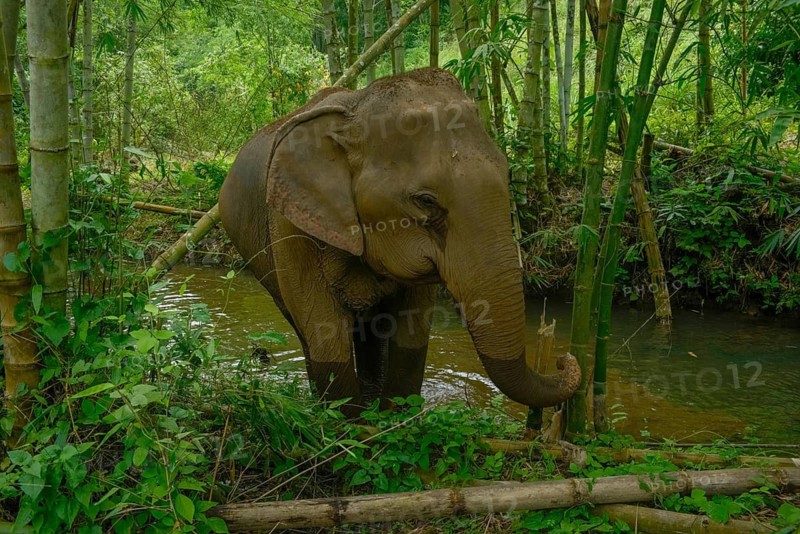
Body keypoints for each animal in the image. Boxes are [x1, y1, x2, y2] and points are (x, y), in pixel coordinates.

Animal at [219, 68, 580, 414]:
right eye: (426, 201)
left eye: (507, 174)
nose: (564, 361)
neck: (356, 106)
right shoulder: (290, 227)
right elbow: (326, 335)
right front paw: (350, 423)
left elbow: (411, 332)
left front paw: (395, 415)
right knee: (306, 331)